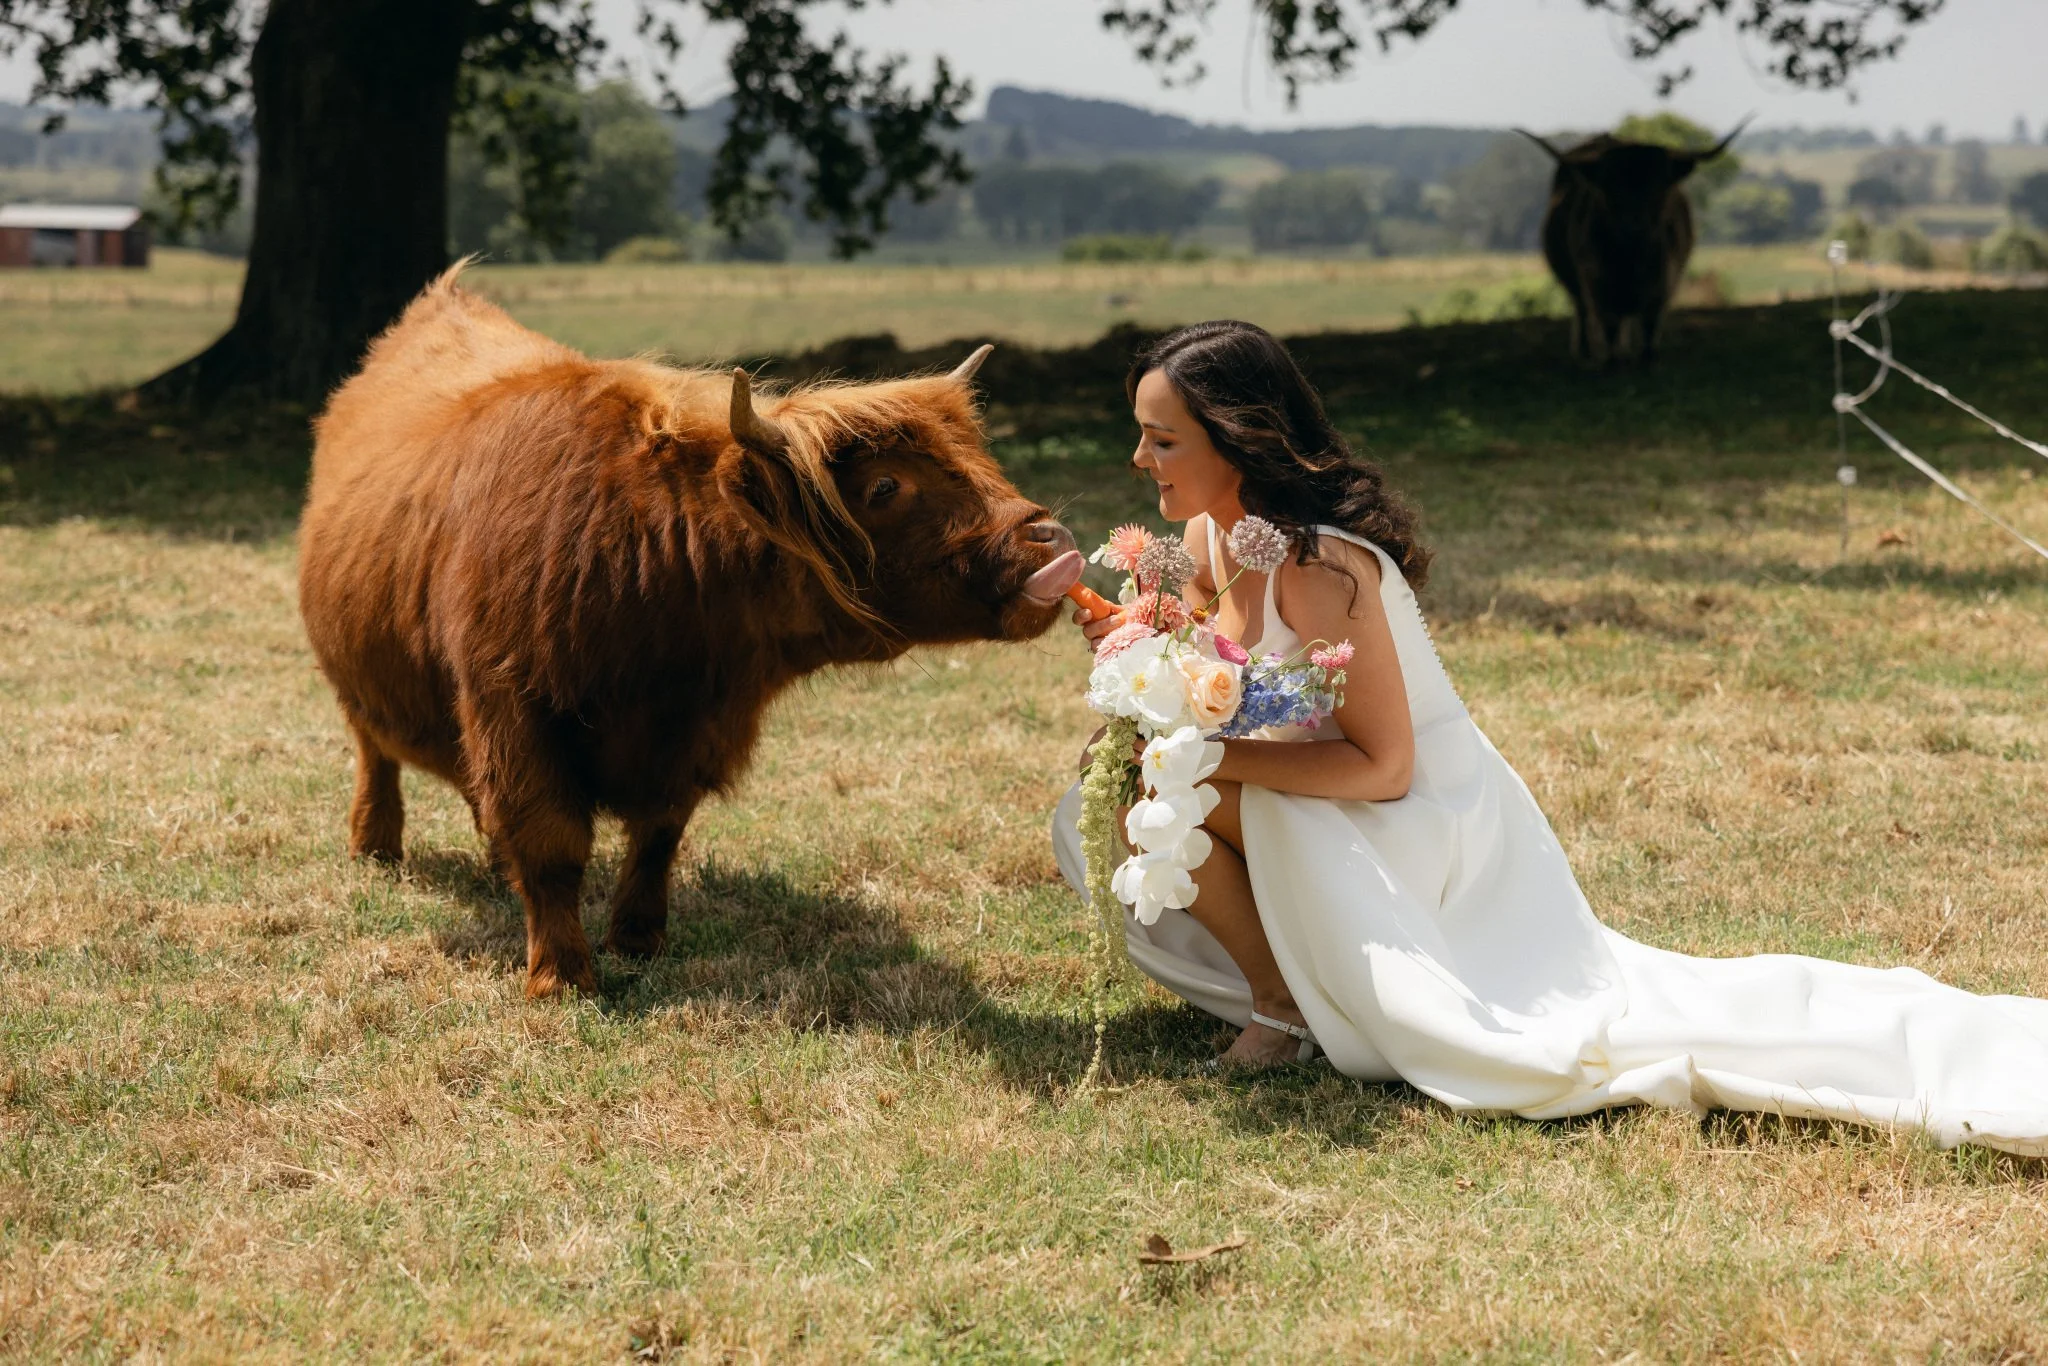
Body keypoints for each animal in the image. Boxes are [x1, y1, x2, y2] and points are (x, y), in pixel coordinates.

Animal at [300, 266, 1082, 998]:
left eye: (982, 458)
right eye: (885, 486)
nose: (1049, 539)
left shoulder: (699, 727)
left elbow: (658, 834)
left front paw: (638, 939)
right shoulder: (511, 707)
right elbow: (550, 843)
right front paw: (561, 977)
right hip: (362, 680)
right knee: (375, 751)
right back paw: (375, 844)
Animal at [1517, 123, 1745, 364]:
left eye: (1660, 185)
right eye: (1609, 186)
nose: (1634, 226)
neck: (1630, 261)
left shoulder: (1661, 287)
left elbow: (1649, 330)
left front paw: (1647, 360)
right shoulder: (1598, 287)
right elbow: (1609, 328)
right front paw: (1611, 362)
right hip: (1577, 286)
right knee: (1583, 311)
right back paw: (1586, 352)